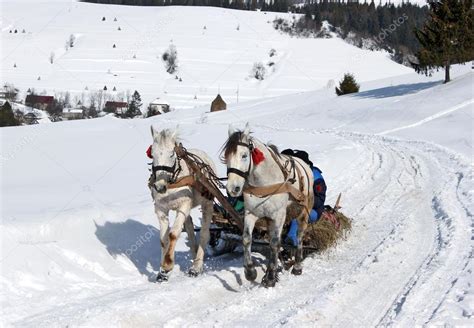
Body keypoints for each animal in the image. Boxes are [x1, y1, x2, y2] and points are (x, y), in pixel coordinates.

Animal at [149, 126, 216, 282]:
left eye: (171, 154)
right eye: (152, 154)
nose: (159, 187)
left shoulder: (184, 206)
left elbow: (173, 234)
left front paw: (167, 265)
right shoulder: (160, 209)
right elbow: (163, 239)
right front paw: (162, 272)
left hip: (207, 203)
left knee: (204, 233)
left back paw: (196, 266)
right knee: (190, 229)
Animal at [223, 123, 314, 288]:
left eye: (244, 155)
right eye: (226, 157)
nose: (233, 188)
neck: (265, 182)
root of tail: (306, 167)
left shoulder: (279, 215)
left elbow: (275, 243)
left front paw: (271, 277)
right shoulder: (252, 213)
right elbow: (246, 238)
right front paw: (250, 272)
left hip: (303, 213)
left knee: (299, 237)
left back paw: (297, 266)